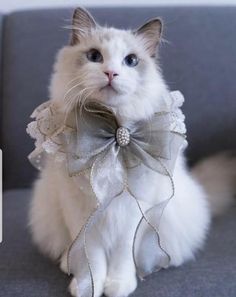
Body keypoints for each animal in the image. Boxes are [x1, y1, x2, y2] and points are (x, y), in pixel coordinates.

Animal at [28, 6, 235, 296]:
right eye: (95, 57)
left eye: (131, 61)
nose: (111, 73)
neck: (113, 137)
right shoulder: (81, 212)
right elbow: (90, 258)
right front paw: (88, 286)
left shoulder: (132, 215)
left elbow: (122, 256)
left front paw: (117, 285)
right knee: (71, 250)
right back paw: (67, 264)